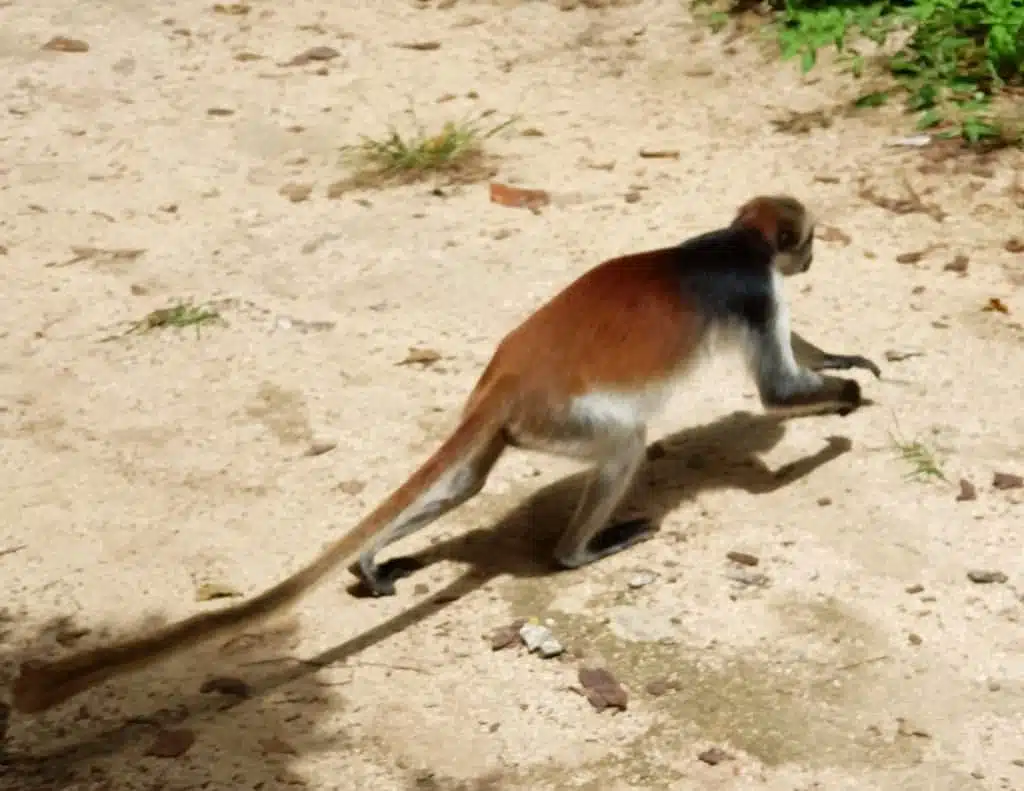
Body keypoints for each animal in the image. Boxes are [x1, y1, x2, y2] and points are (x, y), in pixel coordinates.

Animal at [9, 194, 880, 713]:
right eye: (807, 243)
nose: (815, 256)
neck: (732, 240)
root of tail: (511, 373)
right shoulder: (754, 286)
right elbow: (776, 390)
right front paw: (841, 401)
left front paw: (845, 364)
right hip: (570, 418)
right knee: (623, 445)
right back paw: (578, 552)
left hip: (516, 424)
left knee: (463, 484)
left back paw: (371, 560)